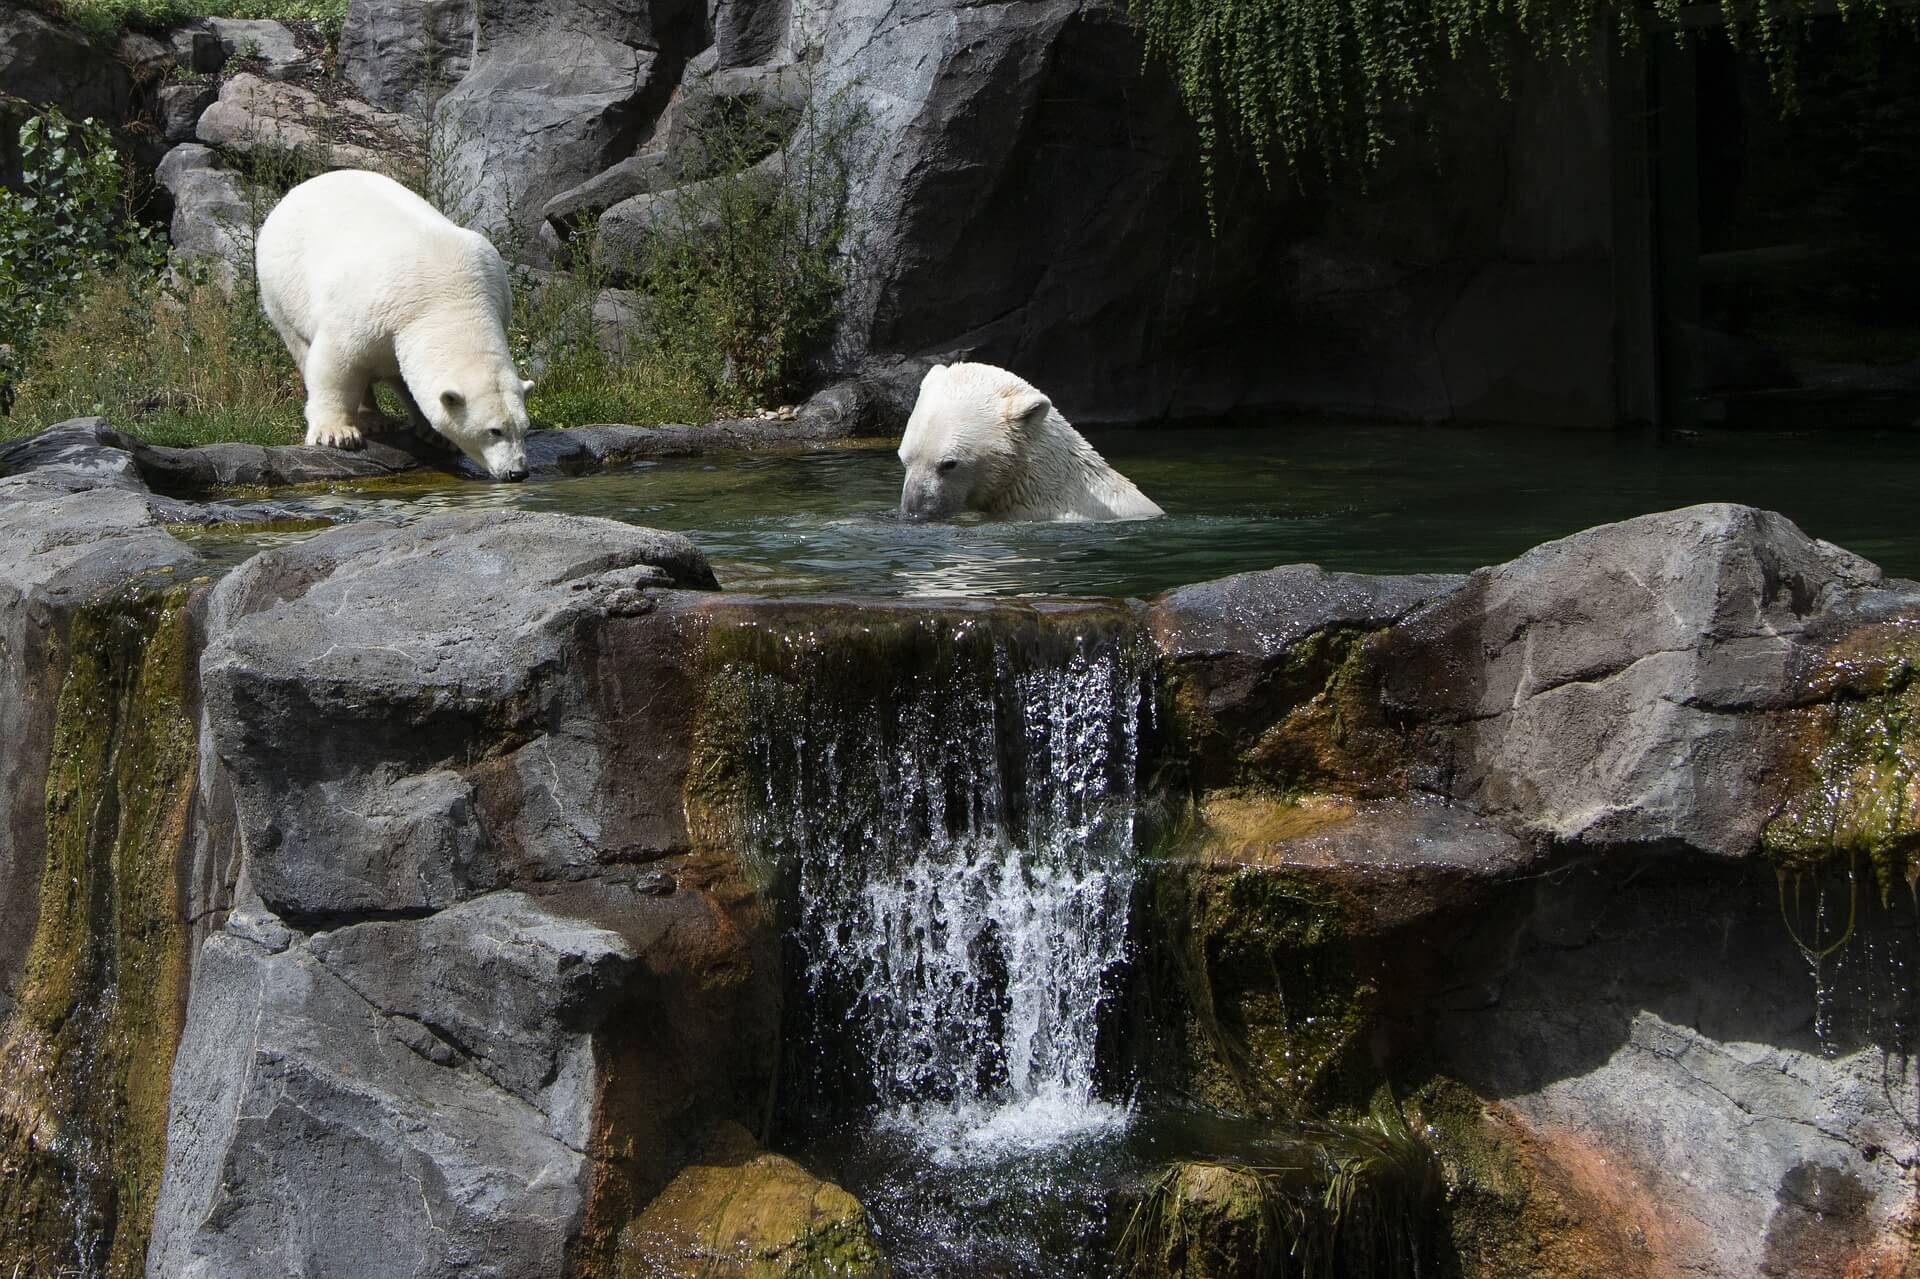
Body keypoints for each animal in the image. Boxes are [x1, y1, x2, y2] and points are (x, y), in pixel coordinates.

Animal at [251, 164, 533, 472]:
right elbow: (336, 362)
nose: (516, 472)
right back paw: (369, 420)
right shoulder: (371, 309)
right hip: (283, 285)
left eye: (524, 428)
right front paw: (336, 433)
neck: (452, 297)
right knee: (302, 344)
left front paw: (434, 434)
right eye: (494, 431)